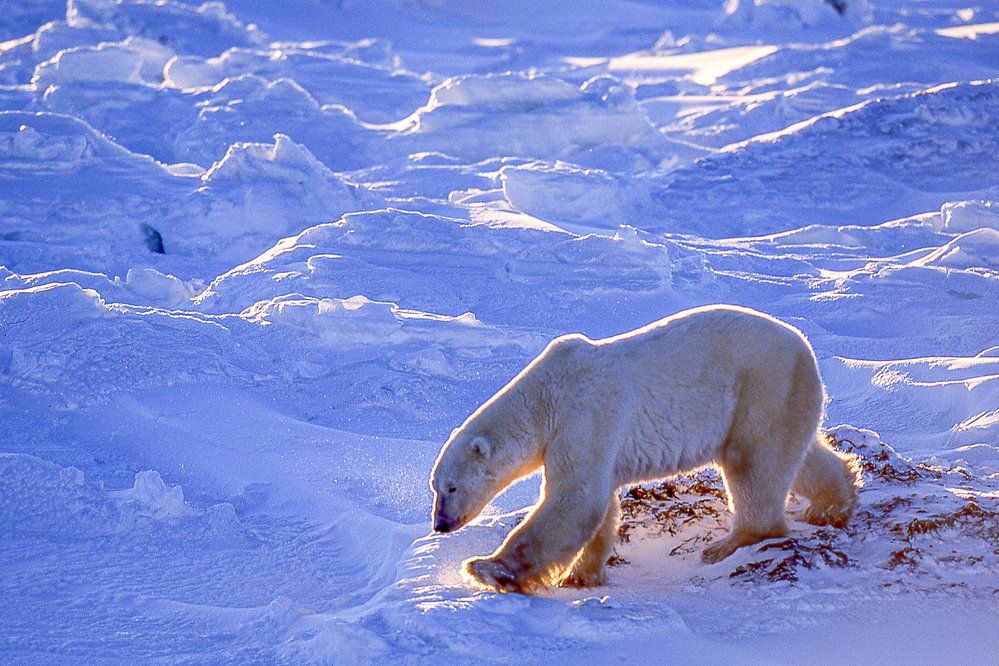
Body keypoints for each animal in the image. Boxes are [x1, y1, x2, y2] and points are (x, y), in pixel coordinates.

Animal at [430, 304, 860, 592]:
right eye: (434, 488)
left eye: (451, 487)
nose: (440, 524)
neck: (545, 398)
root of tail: (806, 349)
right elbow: (600, 505)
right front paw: (582, 574)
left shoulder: (586, 414)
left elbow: (576, 498)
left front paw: (487, 568)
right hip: (784, 400)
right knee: (799, 457)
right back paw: (833, 504)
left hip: (762, 389)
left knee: (752, 464)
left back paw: (727, 544)